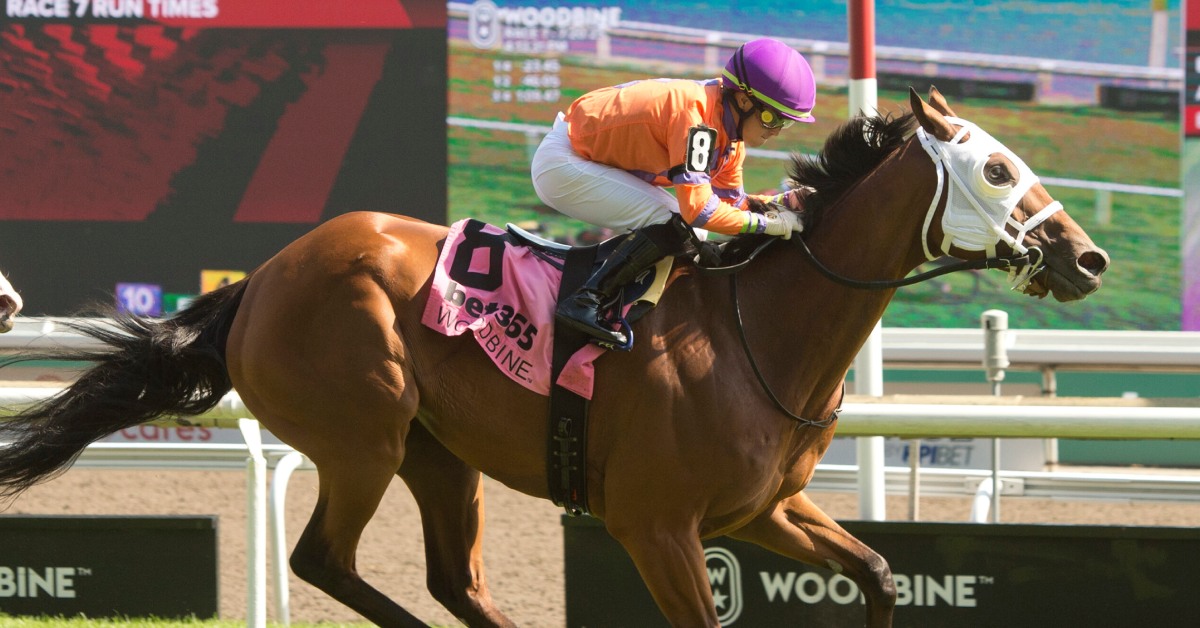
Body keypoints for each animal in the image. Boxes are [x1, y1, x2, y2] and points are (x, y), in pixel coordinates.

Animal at [0, 88, 1108, 627]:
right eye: (995, 168)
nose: (1086, 255)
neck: (761, 330)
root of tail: (263, 277)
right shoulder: (655, 526)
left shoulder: (762, 510)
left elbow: (878, 572)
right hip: (363, 437)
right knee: (324, 560)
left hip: (439, 456)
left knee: (454, 581)